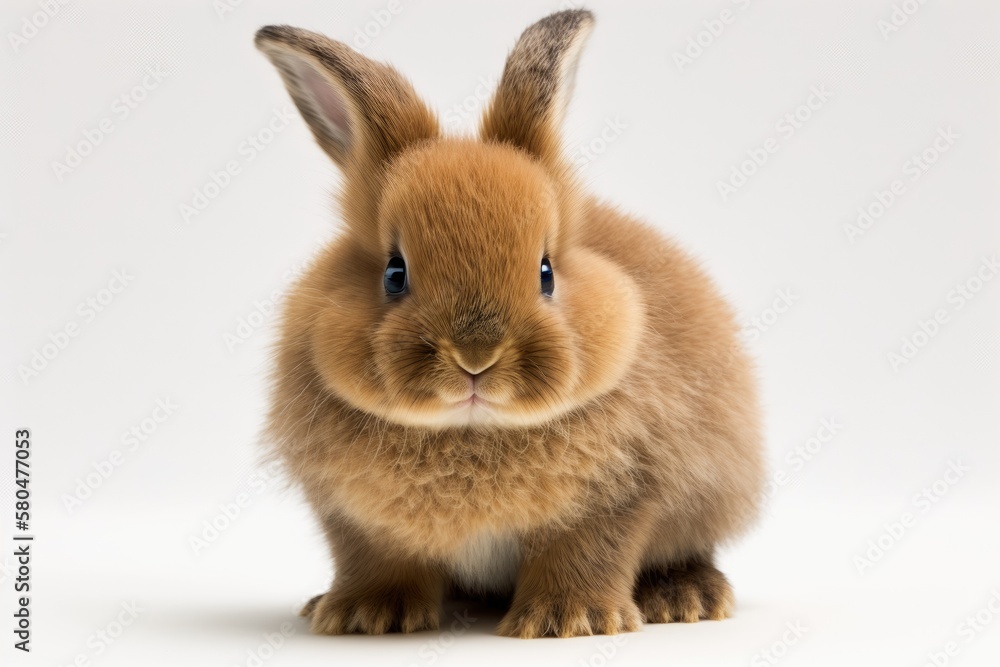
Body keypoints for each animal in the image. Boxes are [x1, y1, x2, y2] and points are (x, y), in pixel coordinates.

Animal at [255, 8, 763, 639]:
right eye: (395, 273)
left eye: (546, 273)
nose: (476, 358)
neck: (473, 433)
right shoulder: (352, 515)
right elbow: (375, 559)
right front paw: (368, 615)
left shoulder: (622, 494)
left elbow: (586, 552)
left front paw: (570, 620)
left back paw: (683, 598)